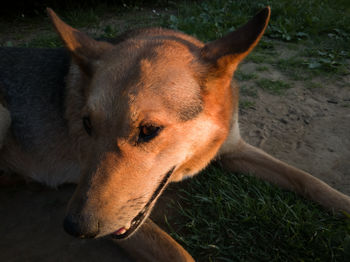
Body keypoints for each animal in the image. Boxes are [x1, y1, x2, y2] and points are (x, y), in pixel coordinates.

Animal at [0, 7, 350, 260]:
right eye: (87, 125)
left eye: (149, 130)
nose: (75, 228)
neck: (200, 147)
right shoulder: (126, 222)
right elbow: (177, 252)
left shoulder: (233, 149)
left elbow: (307, 179)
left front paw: (343, 203)